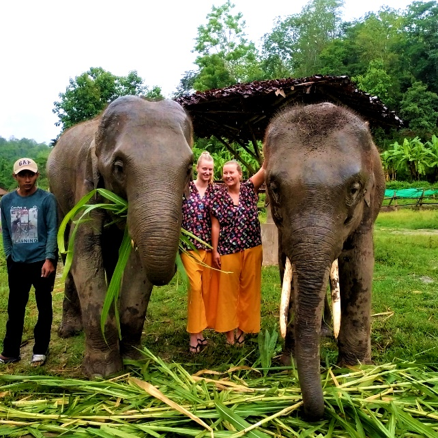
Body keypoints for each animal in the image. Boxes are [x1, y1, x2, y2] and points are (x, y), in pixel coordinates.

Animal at [47, 96, 192, 376]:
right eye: (118, 167)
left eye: (190, 168)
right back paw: (69, 331)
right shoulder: (86, 182)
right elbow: (84, 253)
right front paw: (102, 373)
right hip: (57, 196)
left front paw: (135, 362)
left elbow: (137, 263)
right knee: (67, 255)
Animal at [264, 103, 384, 420]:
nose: (316, 410)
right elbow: (289, 270)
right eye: (274, 188)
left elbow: (358, 263)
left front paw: (356, 369)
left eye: (354, 189)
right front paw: (288, 362)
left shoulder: (367, 211)